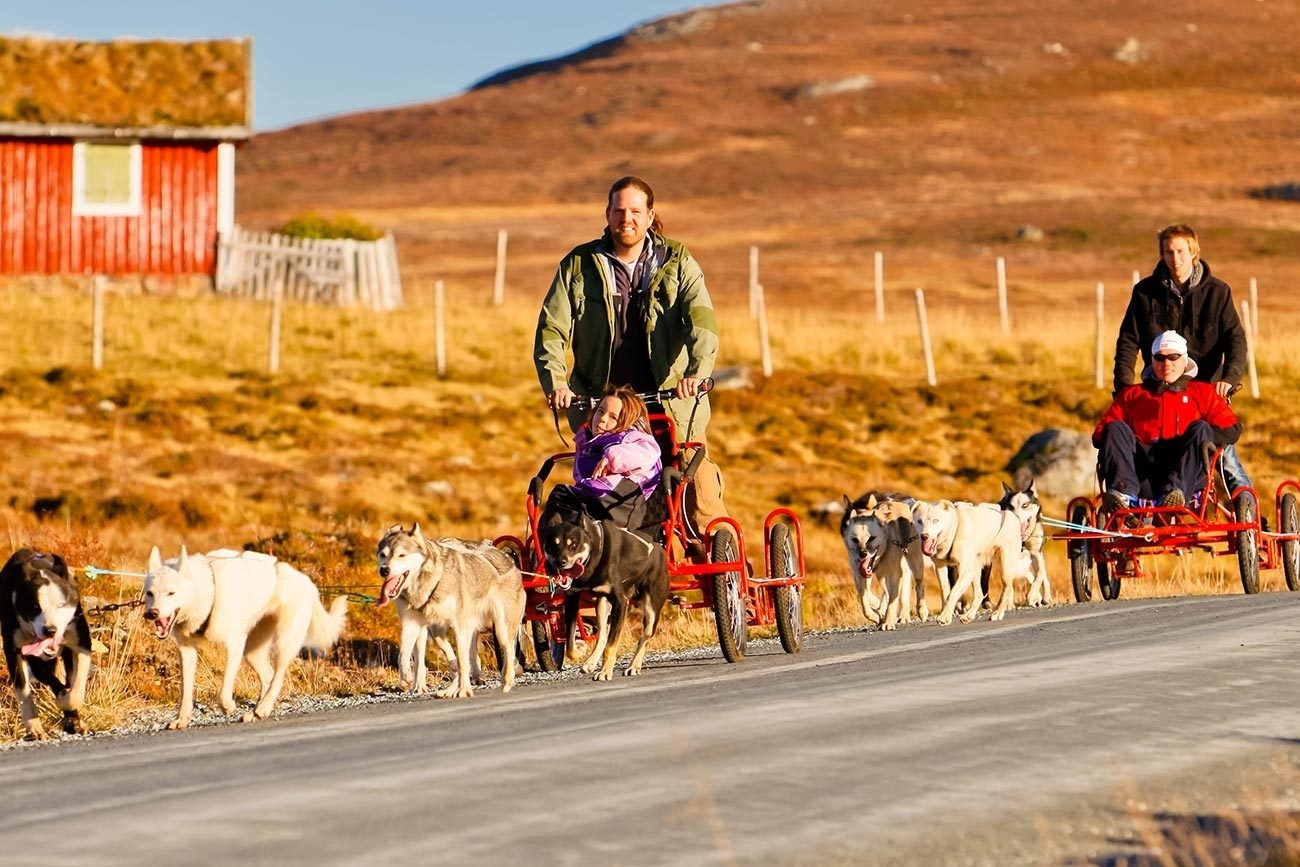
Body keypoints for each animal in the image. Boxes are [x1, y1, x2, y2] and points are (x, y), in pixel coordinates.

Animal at [0, 548, 91, 738]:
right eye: (35, 607)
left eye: (61, 604)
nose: (50, 630)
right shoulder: (15, 650)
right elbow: (23, 690)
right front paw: (34, 728)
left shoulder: (81, 643)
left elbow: (76, 688)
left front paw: (68, 705)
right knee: (44, 674)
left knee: (67, 678)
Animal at [538, 509, 670, 686]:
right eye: (553, 545)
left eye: (574, 545)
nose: (561, 562)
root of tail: (659, 548)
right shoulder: (572, 599)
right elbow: (570, 644)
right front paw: (580, 653)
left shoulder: (621, 602)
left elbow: (611, 645)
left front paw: (606, 672)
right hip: (602, 604)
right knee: (602, 635)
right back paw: (591, 662)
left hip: (651, 608)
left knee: (646, 635)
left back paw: (634, 665)